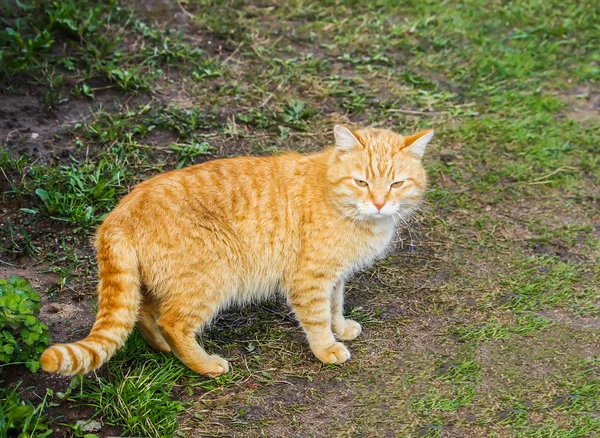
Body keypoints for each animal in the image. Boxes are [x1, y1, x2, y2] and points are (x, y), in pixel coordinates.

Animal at [42, 125, 434, 374]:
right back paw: (204, 365)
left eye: (396, 183)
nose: (380, 203)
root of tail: (118, 212)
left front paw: (341, 327)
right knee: (172, 322)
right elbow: (318, 318)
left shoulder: (335, 276)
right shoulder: (310, 279)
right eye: (361, 181)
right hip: (213, 278)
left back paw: (163, 348)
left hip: (159, 282)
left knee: (144, 313)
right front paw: (327, 348)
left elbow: (335, 306)